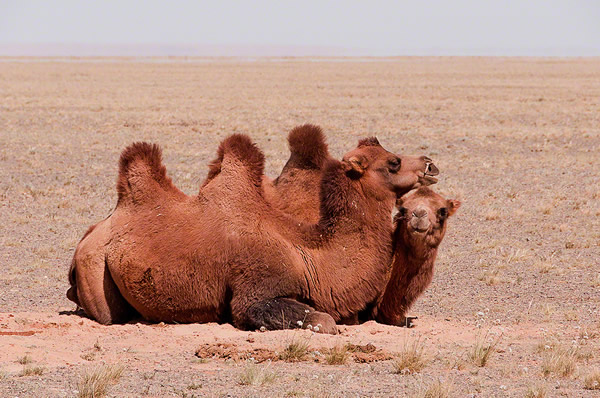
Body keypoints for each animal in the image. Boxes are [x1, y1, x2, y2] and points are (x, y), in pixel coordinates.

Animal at [67, 133, 412, 332]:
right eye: (393, 163)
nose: (425, 165)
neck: (307, 255)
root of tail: (93, 232)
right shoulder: (255, 290)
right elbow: (322, 321)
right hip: (93, 266)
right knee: (105, 314)